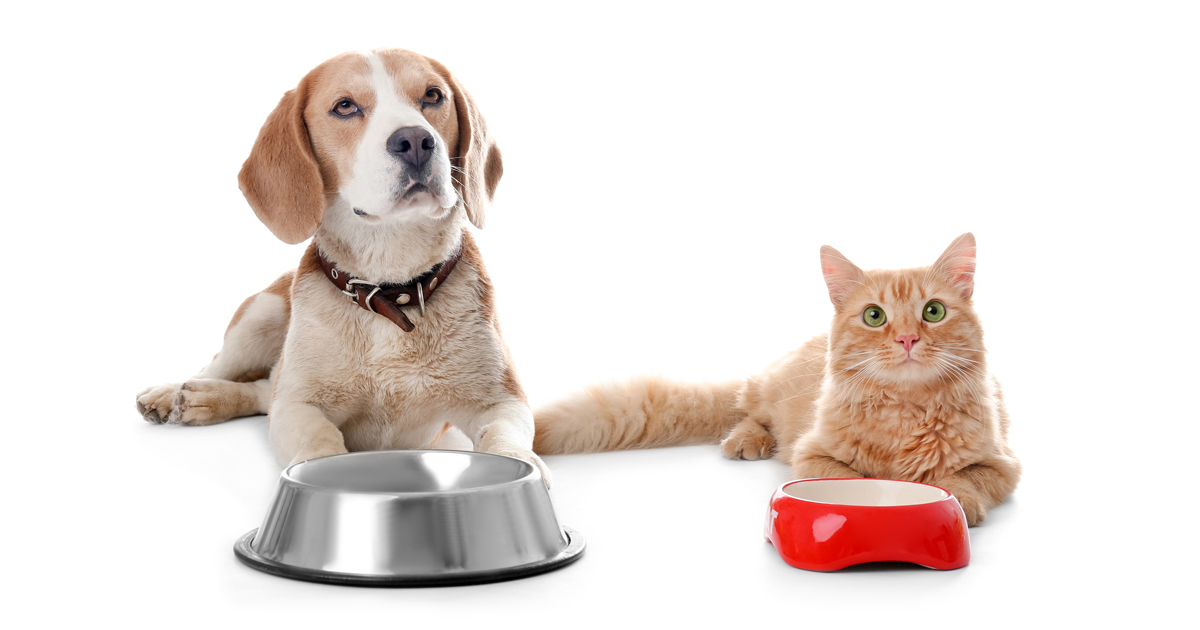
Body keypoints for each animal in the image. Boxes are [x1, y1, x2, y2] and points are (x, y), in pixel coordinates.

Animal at [135, 49, 549, 482]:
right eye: (345, 106)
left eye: (433, 95)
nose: (415, 141)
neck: (389, 289)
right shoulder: (298, 405)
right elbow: (317, 440)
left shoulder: (503, 402)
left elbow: (506, 439)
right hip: (259, 315)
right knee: (219, 369)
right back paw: (175, 393)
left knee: (262, 391)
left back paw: (203, 400)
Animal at [535, 232, 1022, 523]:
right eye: (874, 316)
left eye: (933, 312)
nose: (906, 339)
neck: (904, 410)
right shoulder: (813, 454)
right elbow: (848, 480)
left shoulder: (1002, 465)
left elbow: (963, 479)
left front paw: (958, 503)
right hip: (767, 403)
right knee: (749, 414)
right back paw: (746, 440)